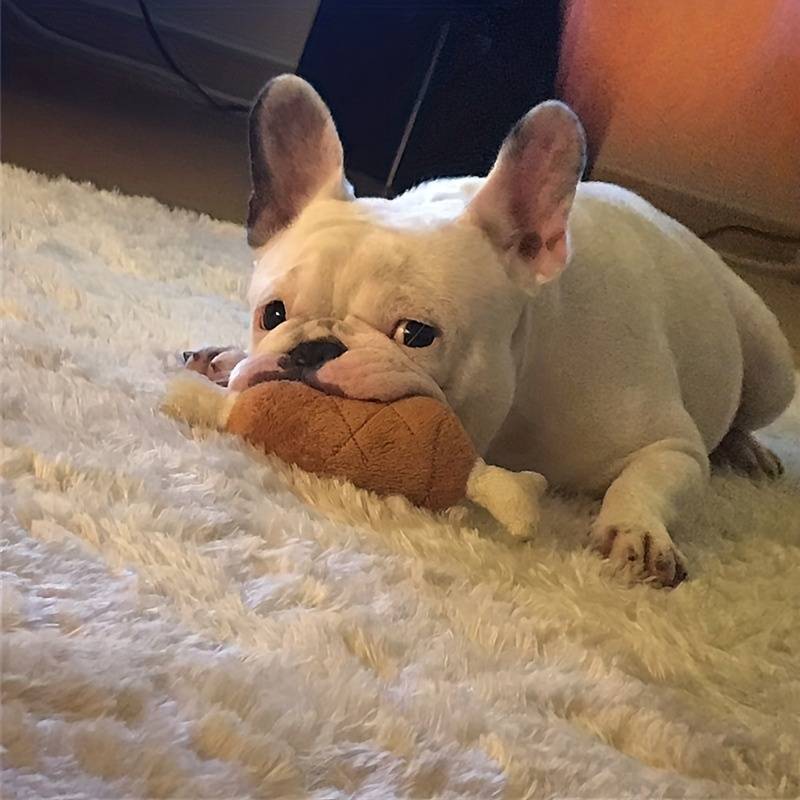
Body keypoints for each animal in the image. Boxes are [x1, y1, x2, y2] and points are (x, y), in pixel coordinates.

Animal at [189, 75, 792, 588]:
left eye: (415, 334)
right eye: (271, 314)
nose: (314, 348)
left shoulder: (673, 444)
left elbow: (645, 479)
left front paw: (637, 530)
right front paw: (232, 356)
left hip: (771, 367)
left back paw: (749, 450)